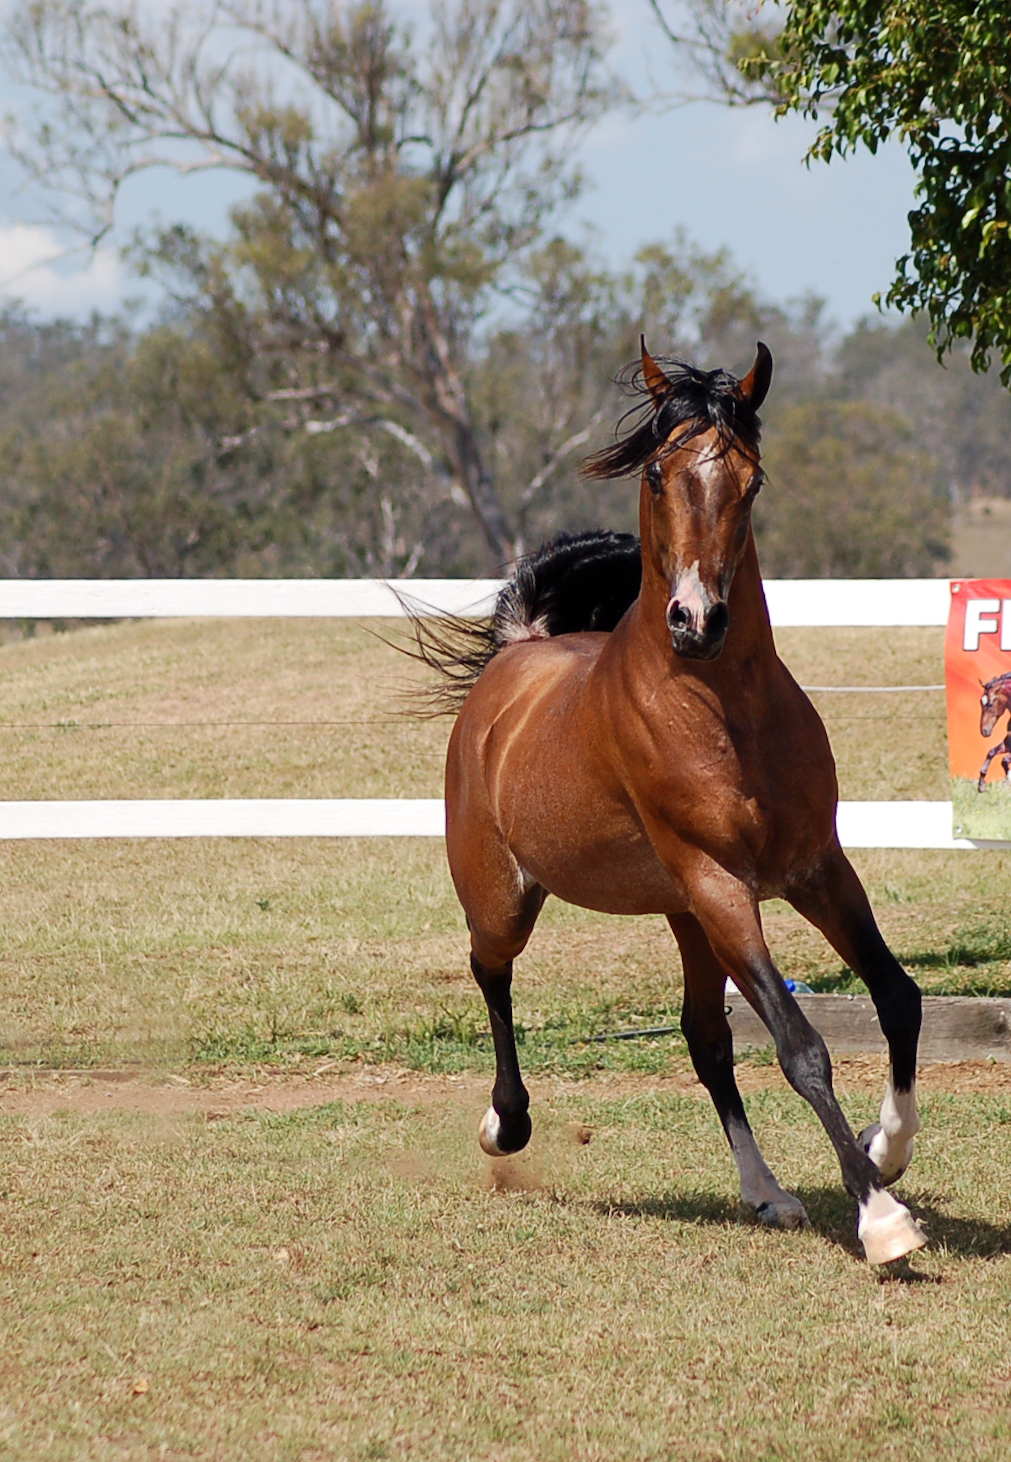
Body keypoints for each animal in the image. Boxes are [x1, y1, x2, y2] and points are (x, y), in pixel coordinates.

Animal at [426, 345, 923, 1269]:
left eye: (751, 479)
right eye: (657, 472)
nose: (697, 619)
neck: (722, 711)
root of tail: (517, 657)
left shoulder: (814, 868)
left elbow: (896, 996)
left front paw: (886, 1149)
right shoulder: (723, 884)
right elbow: (800, 1047)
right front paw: (879, 1217)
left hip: (684, 914)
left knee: (704, 1038)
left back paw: (765, 1193)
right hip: (511, 895)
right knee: (490, 972)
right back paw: (504, 1125)